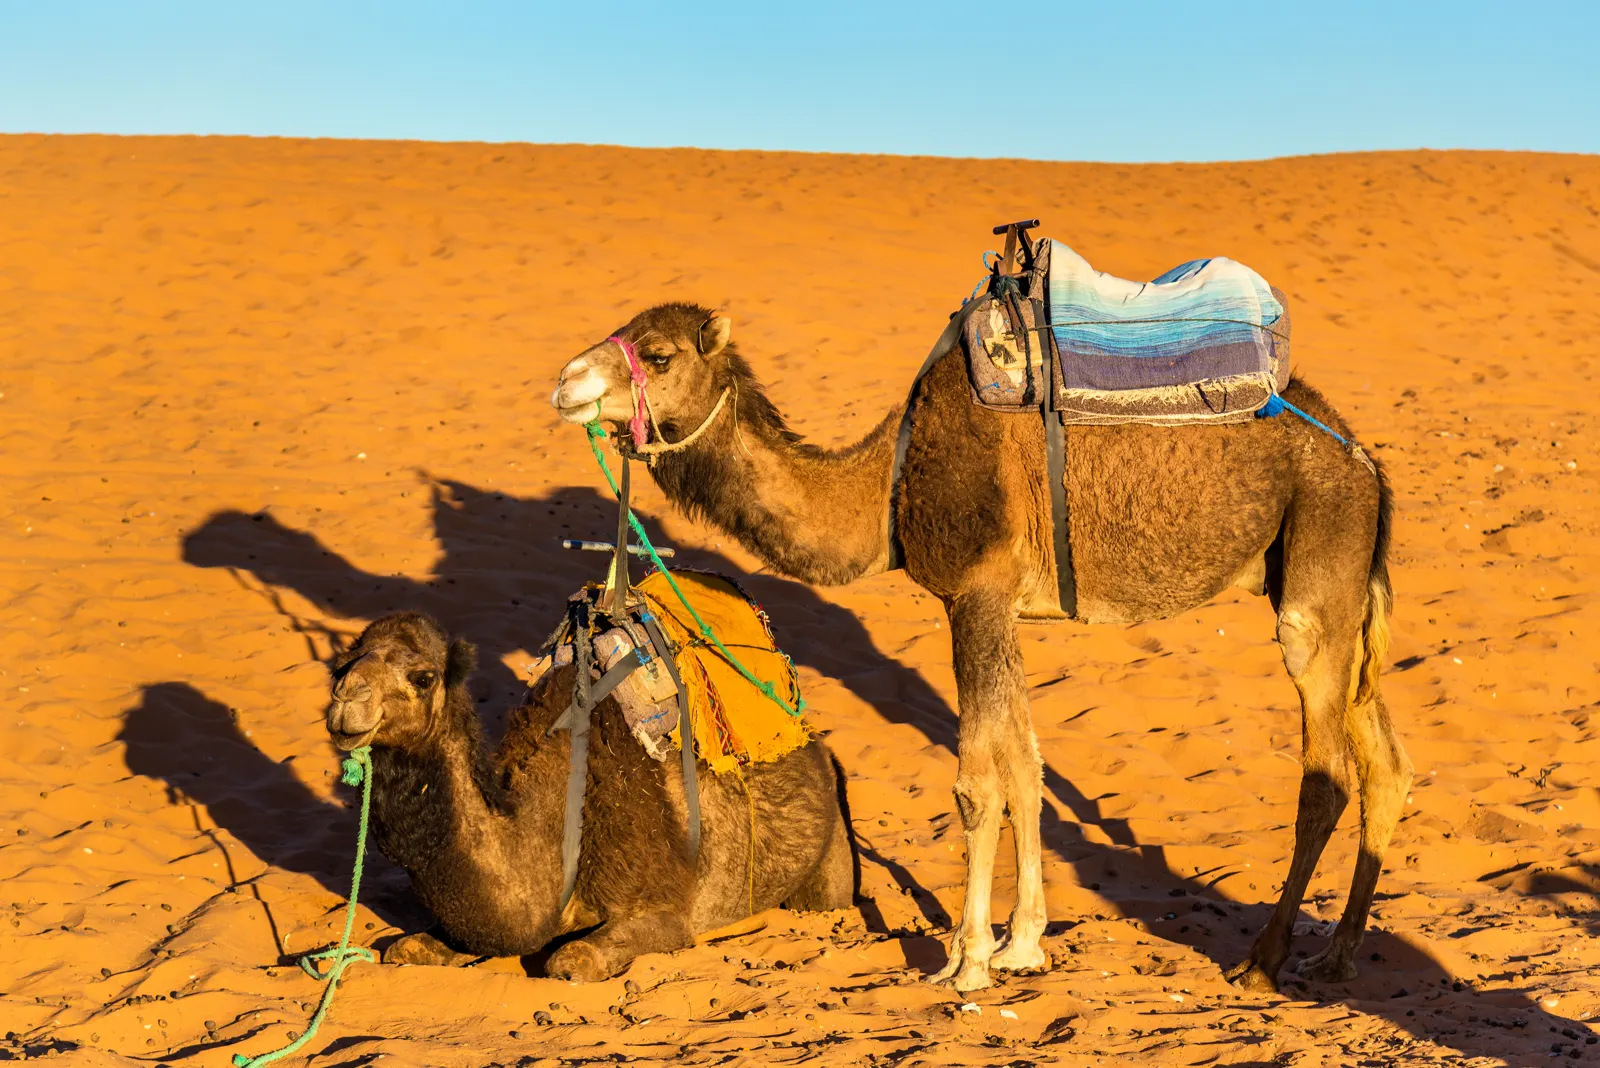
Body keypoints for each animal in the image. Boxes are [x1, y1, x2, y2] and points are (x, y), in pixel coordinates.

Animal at [324, 611, 855, 980]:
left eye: (423, 677)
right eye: (340, 666)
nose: (346, 699)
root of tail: (818, 745)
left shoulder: (664, 911)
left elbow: (572, 960)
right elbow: (407, 947)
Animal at [550, 301, 1411, 994]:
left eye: (660, 355)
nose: (564, 381)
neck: (887, 483)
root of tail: (1367, 462)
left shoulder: (973, 593)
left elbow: (976, 784)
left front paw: (965, 960)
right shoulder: (1004, 609)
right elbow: (1025, 768)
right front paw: (1023, 944)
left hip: (1316, 567)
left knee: (1327, 776)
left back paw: (1265, 960)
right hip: (1338, 589)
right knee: (1385, 766)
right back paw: (1336, 955)